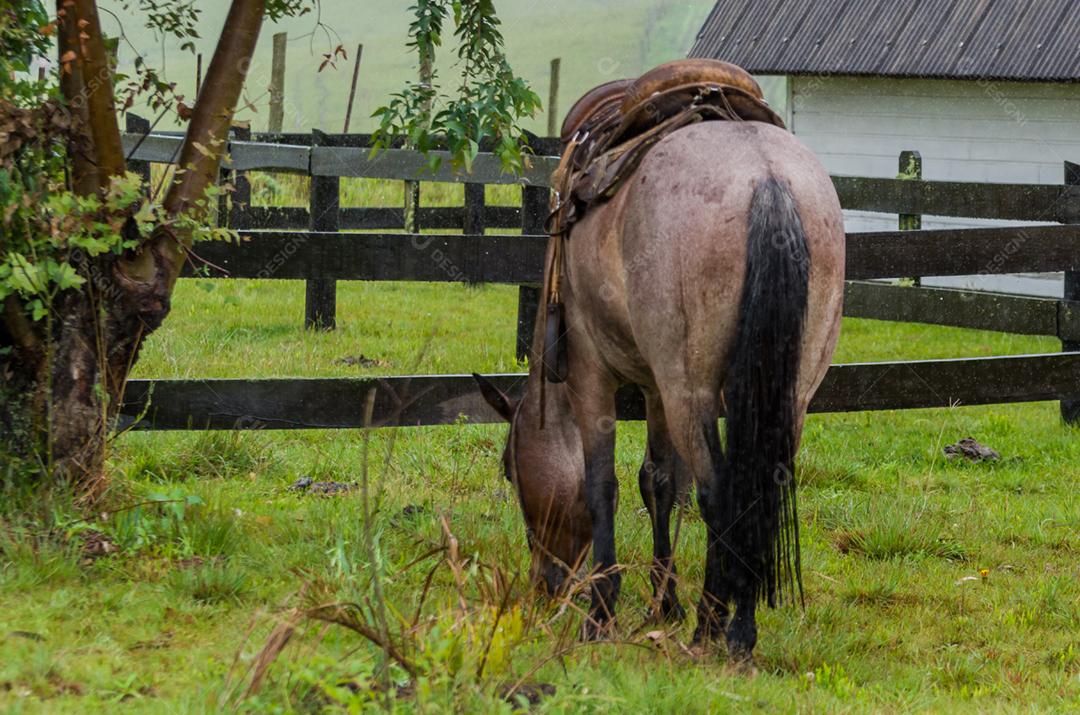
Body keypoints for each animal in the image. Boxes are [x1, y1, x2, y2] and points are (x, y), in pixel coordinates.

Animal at [475, 116, 842, 660]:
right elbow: (658, 482)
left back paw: (717, 625)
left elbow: (602, 486)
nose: (546, 584)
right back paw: (733, 624)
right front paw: (664, 603)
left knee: (719, 493)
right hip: (786, 395)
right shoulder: (654, 389)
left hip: (690, 392)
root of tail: (767, 177)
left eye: (508, 469)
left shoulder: (591, 377)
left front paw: (601, 611)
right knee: (760, 492)